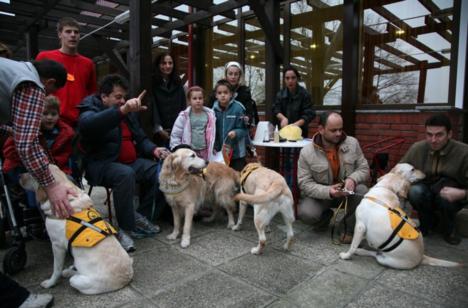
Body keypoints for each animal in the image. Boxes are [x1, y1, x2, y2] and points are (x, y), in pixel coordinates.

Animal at [19, 165, 133, 294]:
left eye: (31, 173)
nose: (19, 176)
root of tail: (126, 278)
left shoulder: (57, 246)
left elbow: (56, 269)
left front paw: (50, 283)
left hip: (78, 281)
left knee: (72, 276)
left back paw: (69, 272)